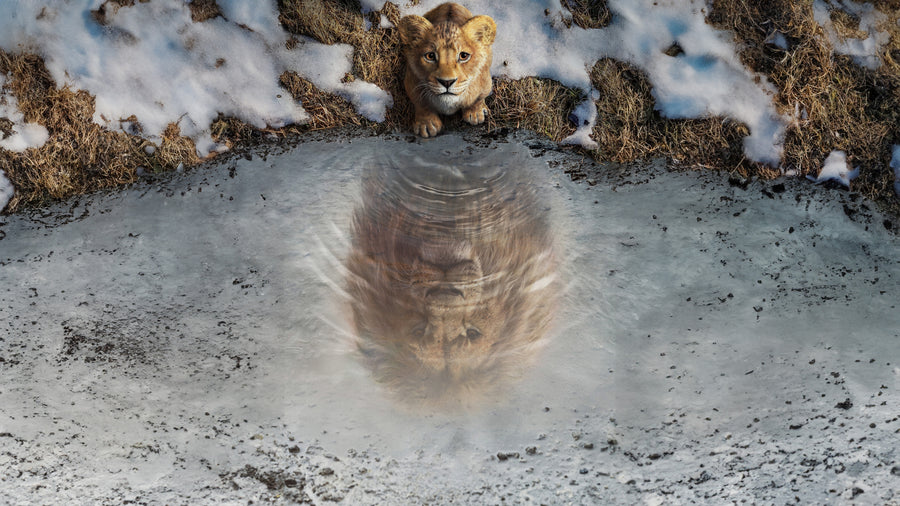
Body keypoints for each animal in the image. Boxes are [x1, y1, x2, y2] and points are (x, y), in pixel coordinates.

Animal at [398, 3, 497, 138]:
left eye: (463, 56)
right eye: (430, 56)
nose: (447, 82)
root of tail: (450, 3)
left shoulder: (486, 82)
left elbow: (478, 98)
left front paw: (475, 113)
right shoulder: (411, 82)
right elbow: (421, 104)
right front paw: (427, 124)